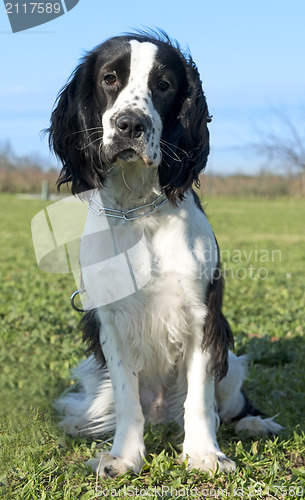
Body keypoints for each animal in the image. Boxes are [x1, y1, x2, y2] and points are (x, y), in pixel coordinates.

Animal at [49, 31, 280, 476]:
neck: (139, 211)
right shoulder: (110, 323)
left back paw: (255, 423)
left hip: (231, 362)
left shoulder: (203, 318)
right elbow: (126, 399)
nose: (130, 125)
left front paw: (204, 454)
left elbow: (199, 400)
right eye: (109, 78)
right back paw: (81, 423)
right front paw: (124, 456)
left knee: (231, 404)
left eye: (164, 85)